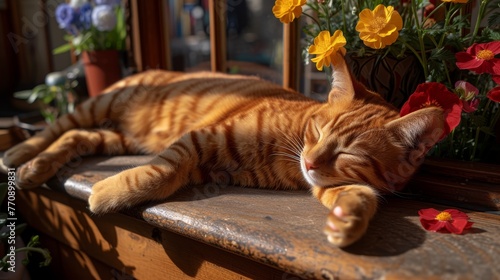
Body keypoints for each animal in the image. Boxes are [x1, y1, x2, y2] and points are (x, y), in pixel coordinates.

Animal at [2, 56, 442, 247]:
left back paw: (35, 166)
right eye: (317, 130)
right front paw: (110, 192)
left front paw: (348, 220)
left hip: (120, 138)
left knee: (75, 137)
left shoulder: (317, 180)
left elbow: (358, 194)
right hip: (102, 105)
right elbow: (161, 171)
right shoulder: (203, 138)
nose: (311, 159)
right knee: (59, 127)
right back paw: (20, 152)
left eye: (349, 156)